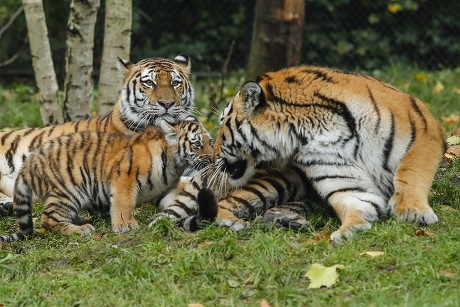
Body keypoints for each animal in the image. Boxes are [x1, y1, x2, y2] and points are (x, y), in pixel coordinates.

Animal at [0, 119, 212, 242]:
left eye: (209, 141)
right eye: (197, 143)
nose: (213, 158)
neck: (175, 164)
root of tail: (29, 163)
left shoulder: (163, 189)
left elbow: (178, 202)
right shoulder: (124, 177)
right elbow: (123, 203)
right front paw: (125, 225)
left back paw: (80, 220)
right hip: (68, 190)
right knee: (48, 219)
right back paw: (81, 229)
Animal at [152, 66, 446, 244]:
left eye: (223, 122)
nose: (212, 158)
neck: (312, 128)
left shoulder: (424, 130)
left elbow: (411, 170)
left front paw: (412, 212)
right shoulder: (342, 178)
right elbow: (356, 200)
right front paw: (350, 229)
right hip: (275, 181)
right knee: (222, 206)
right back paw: (236, 224)